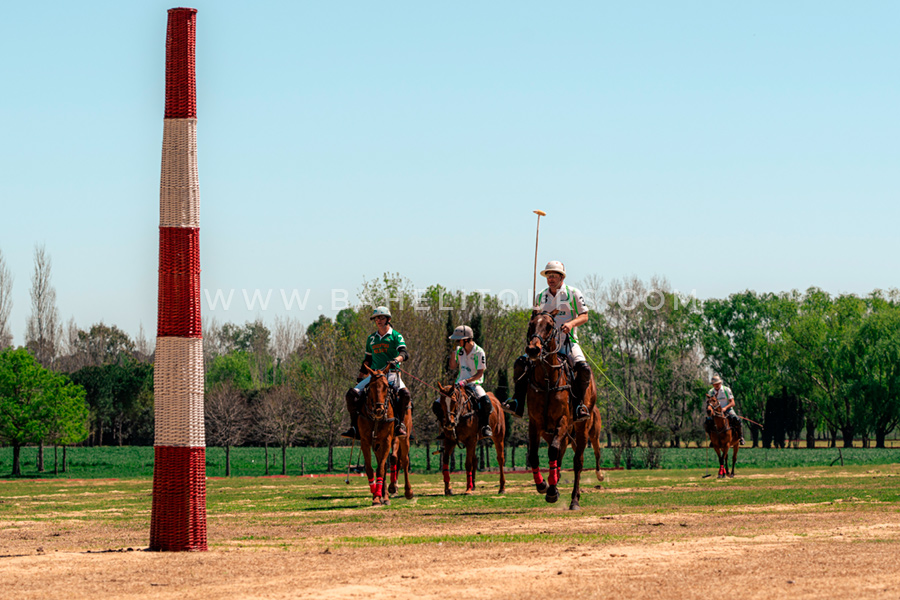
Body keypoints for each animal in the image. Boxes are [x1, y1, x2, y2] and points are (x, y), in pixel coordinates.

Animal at [358, 364, 414, 504]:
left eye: (386, 387)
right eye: (371, 387)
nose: (379, 410)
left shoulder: (387, 440)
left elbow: (382, 468)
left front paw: (379, 496)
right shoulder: (366, 441)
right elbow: (371, 468)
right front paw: (377, 495)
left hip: (404, 437)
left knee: (405, 460)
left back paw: (408, 491)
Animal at [520, 310, 596, 510]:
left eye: (548, 326)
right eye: (531, 324)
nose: (533, 350)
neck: (547, 379)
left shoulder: (563, 419)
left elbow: (553, 452)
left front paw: (552, 491)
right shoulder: (535, 423)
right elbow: (533, 454)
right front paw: (543, 485)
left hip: (581, 428)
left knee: (577, 462)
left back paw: (574, 499)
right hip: (551, 432)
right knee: (560, 455)